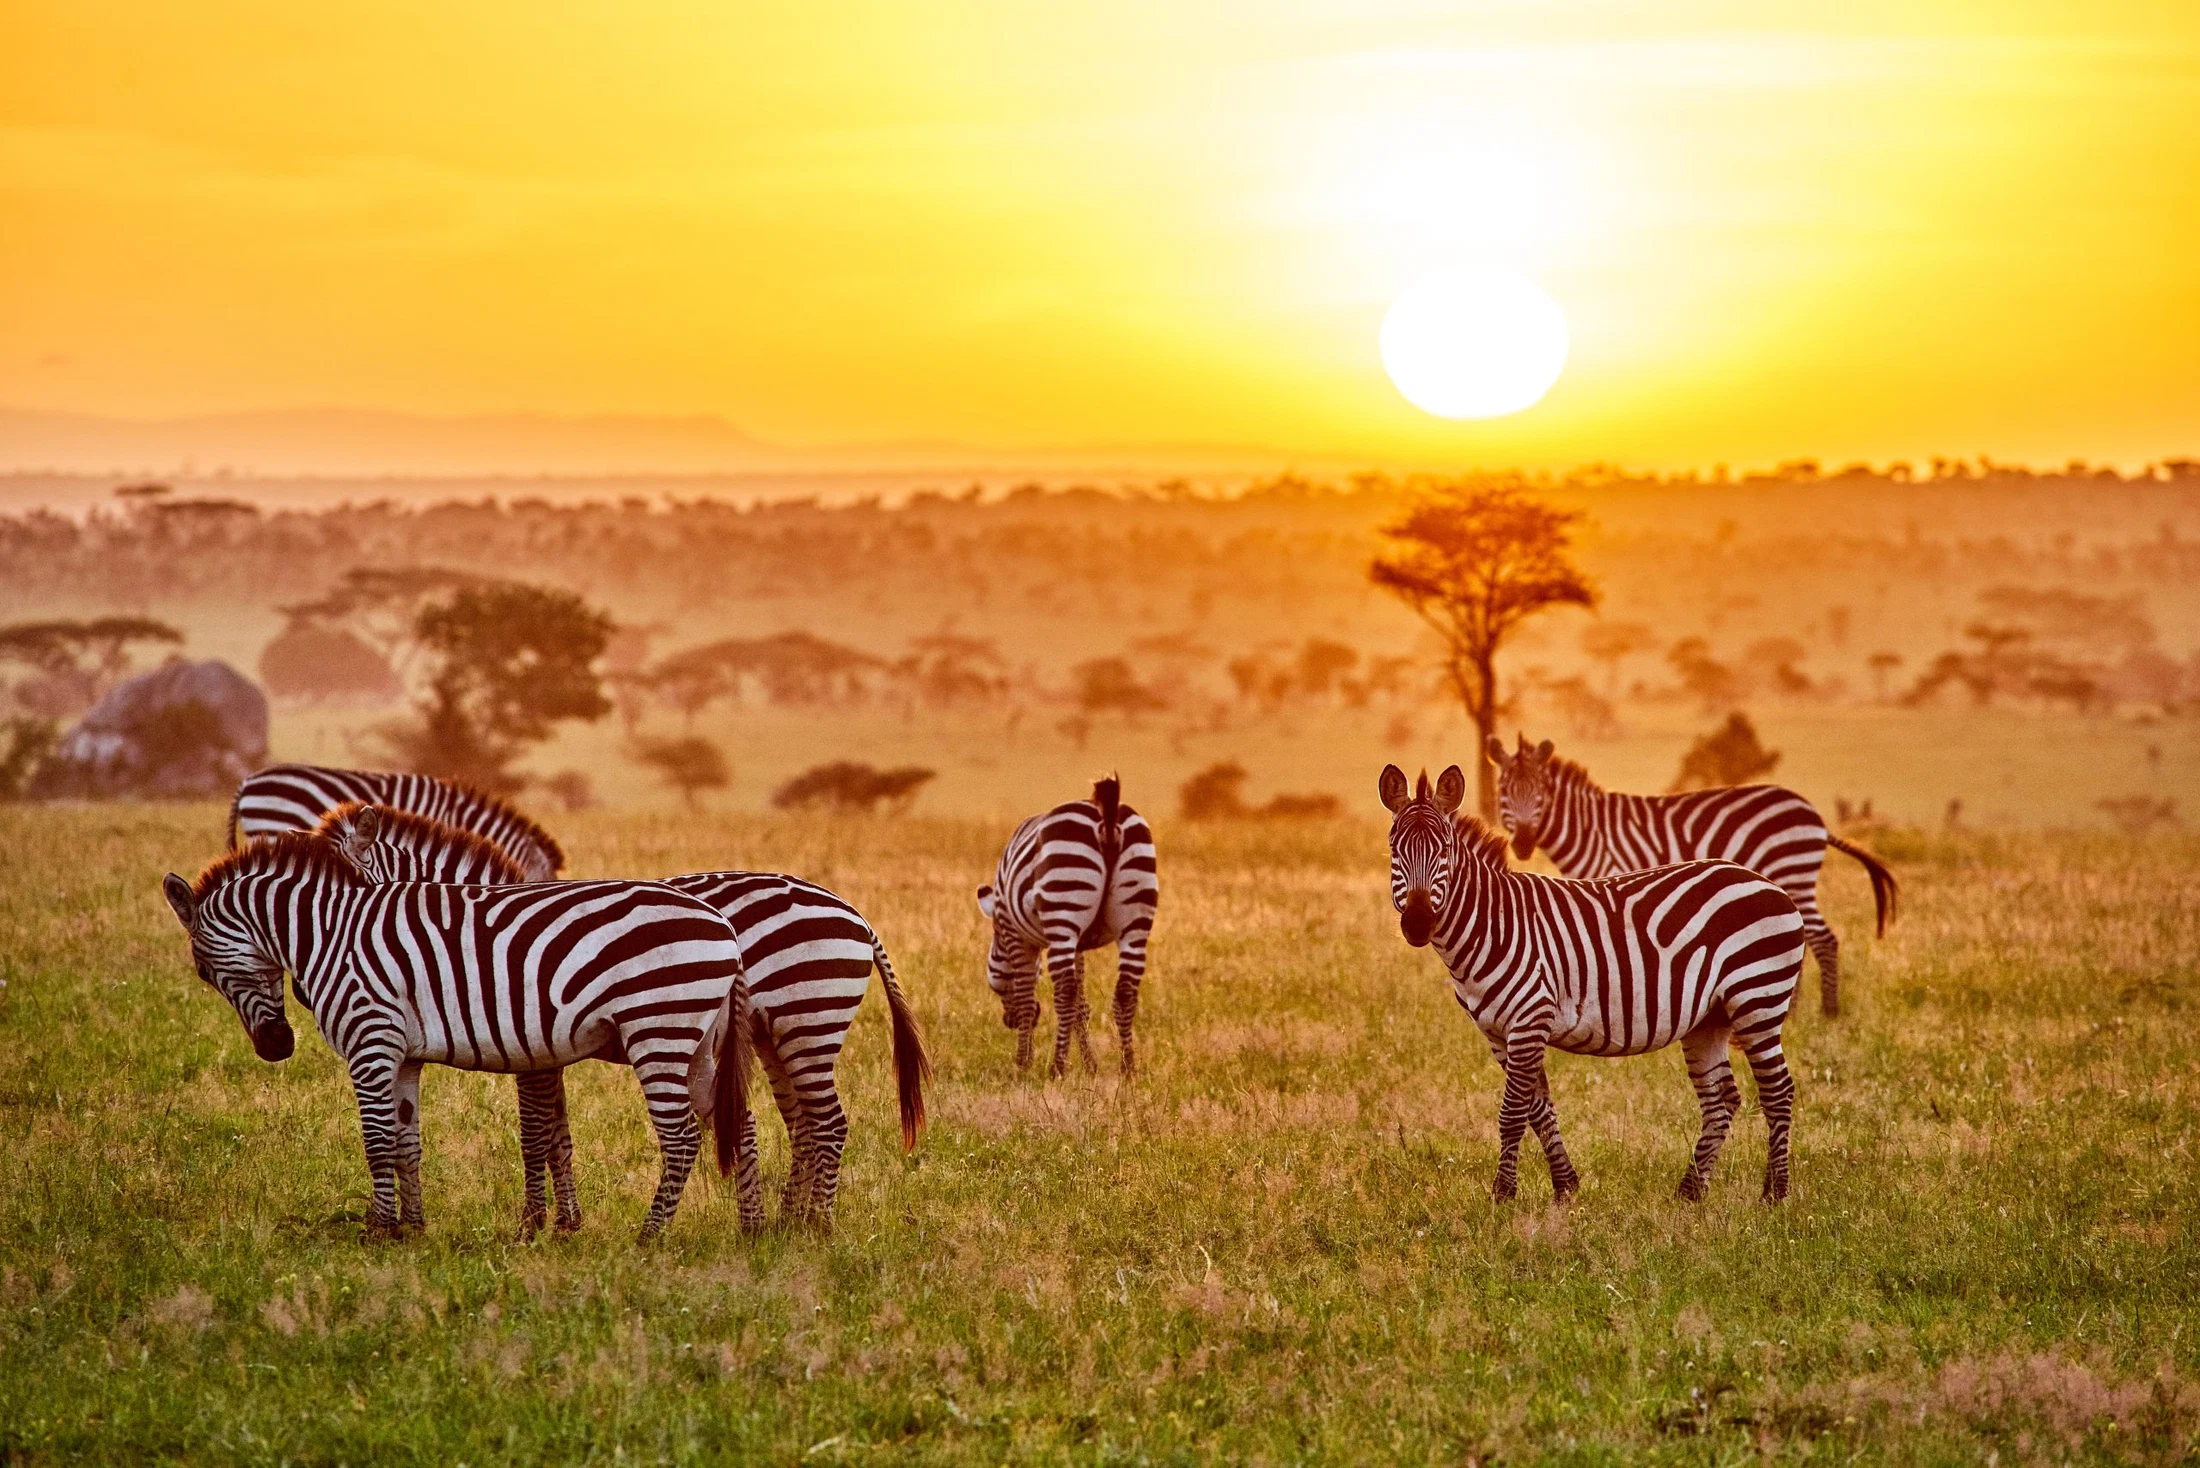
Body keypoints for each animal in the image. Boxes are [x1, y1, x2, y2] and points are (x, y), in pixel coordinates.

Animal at [161, 833, 759, 1240]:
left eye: (204, 971)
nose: (275, 1047)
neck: (330, 934)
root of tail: (723, 925)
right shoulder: (402, 1055)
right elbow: (406, 1142)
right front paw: (412, 1229)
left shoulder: (371, 1040)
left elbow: (377, 1140)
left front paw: (377, 1230)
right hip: (699, 1042)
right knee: (737, 1123)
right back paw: (749, 1230)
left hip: (658, 1029)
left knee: (681, 1136)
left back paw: (649, 1236)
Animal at [320, 802, 930, 1230]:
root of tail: (851, 911)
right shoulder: (543, 1044)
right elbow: (558, 1135)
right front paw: (567, 1224)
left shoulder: (530, 1045)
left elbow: (534, 1133)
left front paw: (534, 1226)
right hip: (776, 1034)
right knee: (802, 1122)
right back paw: (788, 1223)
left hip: (806, 1022)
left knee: (827, 1122)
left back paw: (816, 1226)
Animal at [977, 776, 1158, 1077]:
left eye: (996, 987)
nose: (1008, 1022)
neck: (999, 933)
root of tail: (1107, 822)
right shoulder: (1079, 945)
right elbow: (1081, 1006)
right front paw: (1090, 1065)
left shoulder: (1016, 934)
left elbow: (1026, 996)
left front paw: (1023, 1063)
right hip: (1134, 922)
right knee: (1125, 992)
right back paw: (1128, 1067)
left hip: (1063, 907)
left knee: (1064, 992)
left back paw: (1057, 1067)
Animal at [1382, 763, 1806, 1204]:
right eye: (1394, 849)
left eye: (1444, 850)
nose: (1417, 924)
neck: (1491, 924)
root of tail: (1766, 883)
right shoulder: (1497, 1032)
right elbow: (1538, 1109)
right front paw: (1565, 1187)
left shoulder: (1529, 1018)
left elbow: (1513, 1112)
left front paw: (1503, 1194)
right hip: (1710, 1018)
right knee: (1721, 1099)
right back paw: (1690, 1192)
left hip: (1757, 997)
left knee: (1777, 1092)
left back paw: (1775, 1194)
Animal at [1486, 734, 1897, 1018]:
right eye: (1503, 791)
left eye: (1540, 793)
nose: (1522, 843)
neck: (1590, 828)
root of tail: (1815, 816)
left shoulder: (1611, 878)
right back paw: (1790, 1010)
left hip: (1792, 872)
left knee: (1821, 938)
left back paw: (1826, 1012)